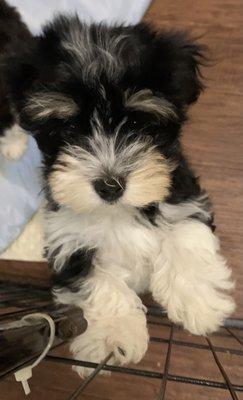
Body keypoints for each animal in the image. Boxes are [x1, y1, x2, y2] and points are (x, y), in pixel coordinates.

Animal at [3, 11, 235, 376]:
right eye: (70, 127)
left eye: (138, 124)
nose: (110, 185)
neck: (118, 211)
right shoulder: (68, 238)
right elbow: (96, 281)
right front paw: (112, 337)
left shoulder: (181, 193)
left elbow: (186, 233)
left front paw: (199, 302)